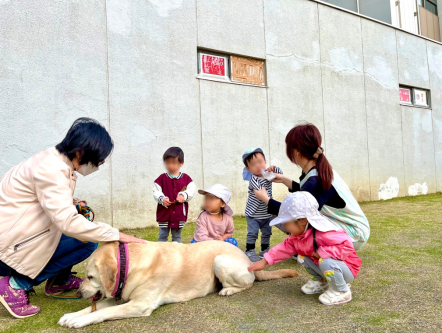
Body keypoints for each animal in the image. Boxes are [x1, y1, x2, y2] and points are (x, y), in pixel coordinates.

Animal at [57, 240, 296, 328]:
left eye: (90, 277)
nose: (78, 292)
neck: (131, 264)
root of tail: (248, 260)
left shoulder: (139, 304)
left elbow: (102, 312)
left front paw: (79, 321)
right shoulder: (121, 296)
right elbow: (94, 307)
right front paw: (71, 315)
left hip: (220, 261)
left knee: (248, 284)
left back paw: (227, 290)